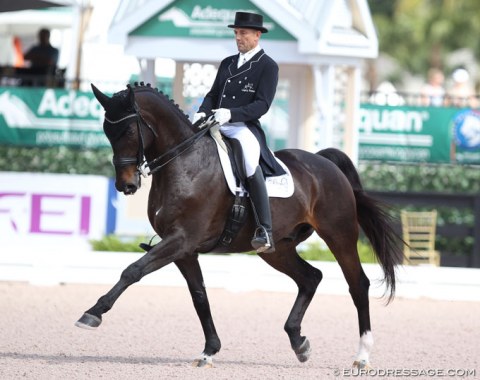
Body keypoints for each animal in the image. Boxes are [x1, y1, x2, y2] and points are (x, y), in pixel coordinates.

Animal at [76, 82, 404, 368]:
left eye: (129, 130)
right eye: (107, 131)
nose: (126, 185)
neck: (184, 162)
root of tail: (325, 163)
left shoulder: (181, 240)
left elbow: (133, 270)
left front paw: (92, 314)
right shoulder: (183, 250)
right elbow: (199, 296)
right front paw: (209, 351)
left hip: (339, 235)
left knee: (357, 284)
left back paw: (362, 356)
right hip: (277, 249)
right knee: (311, 277)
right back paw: (299, 343)